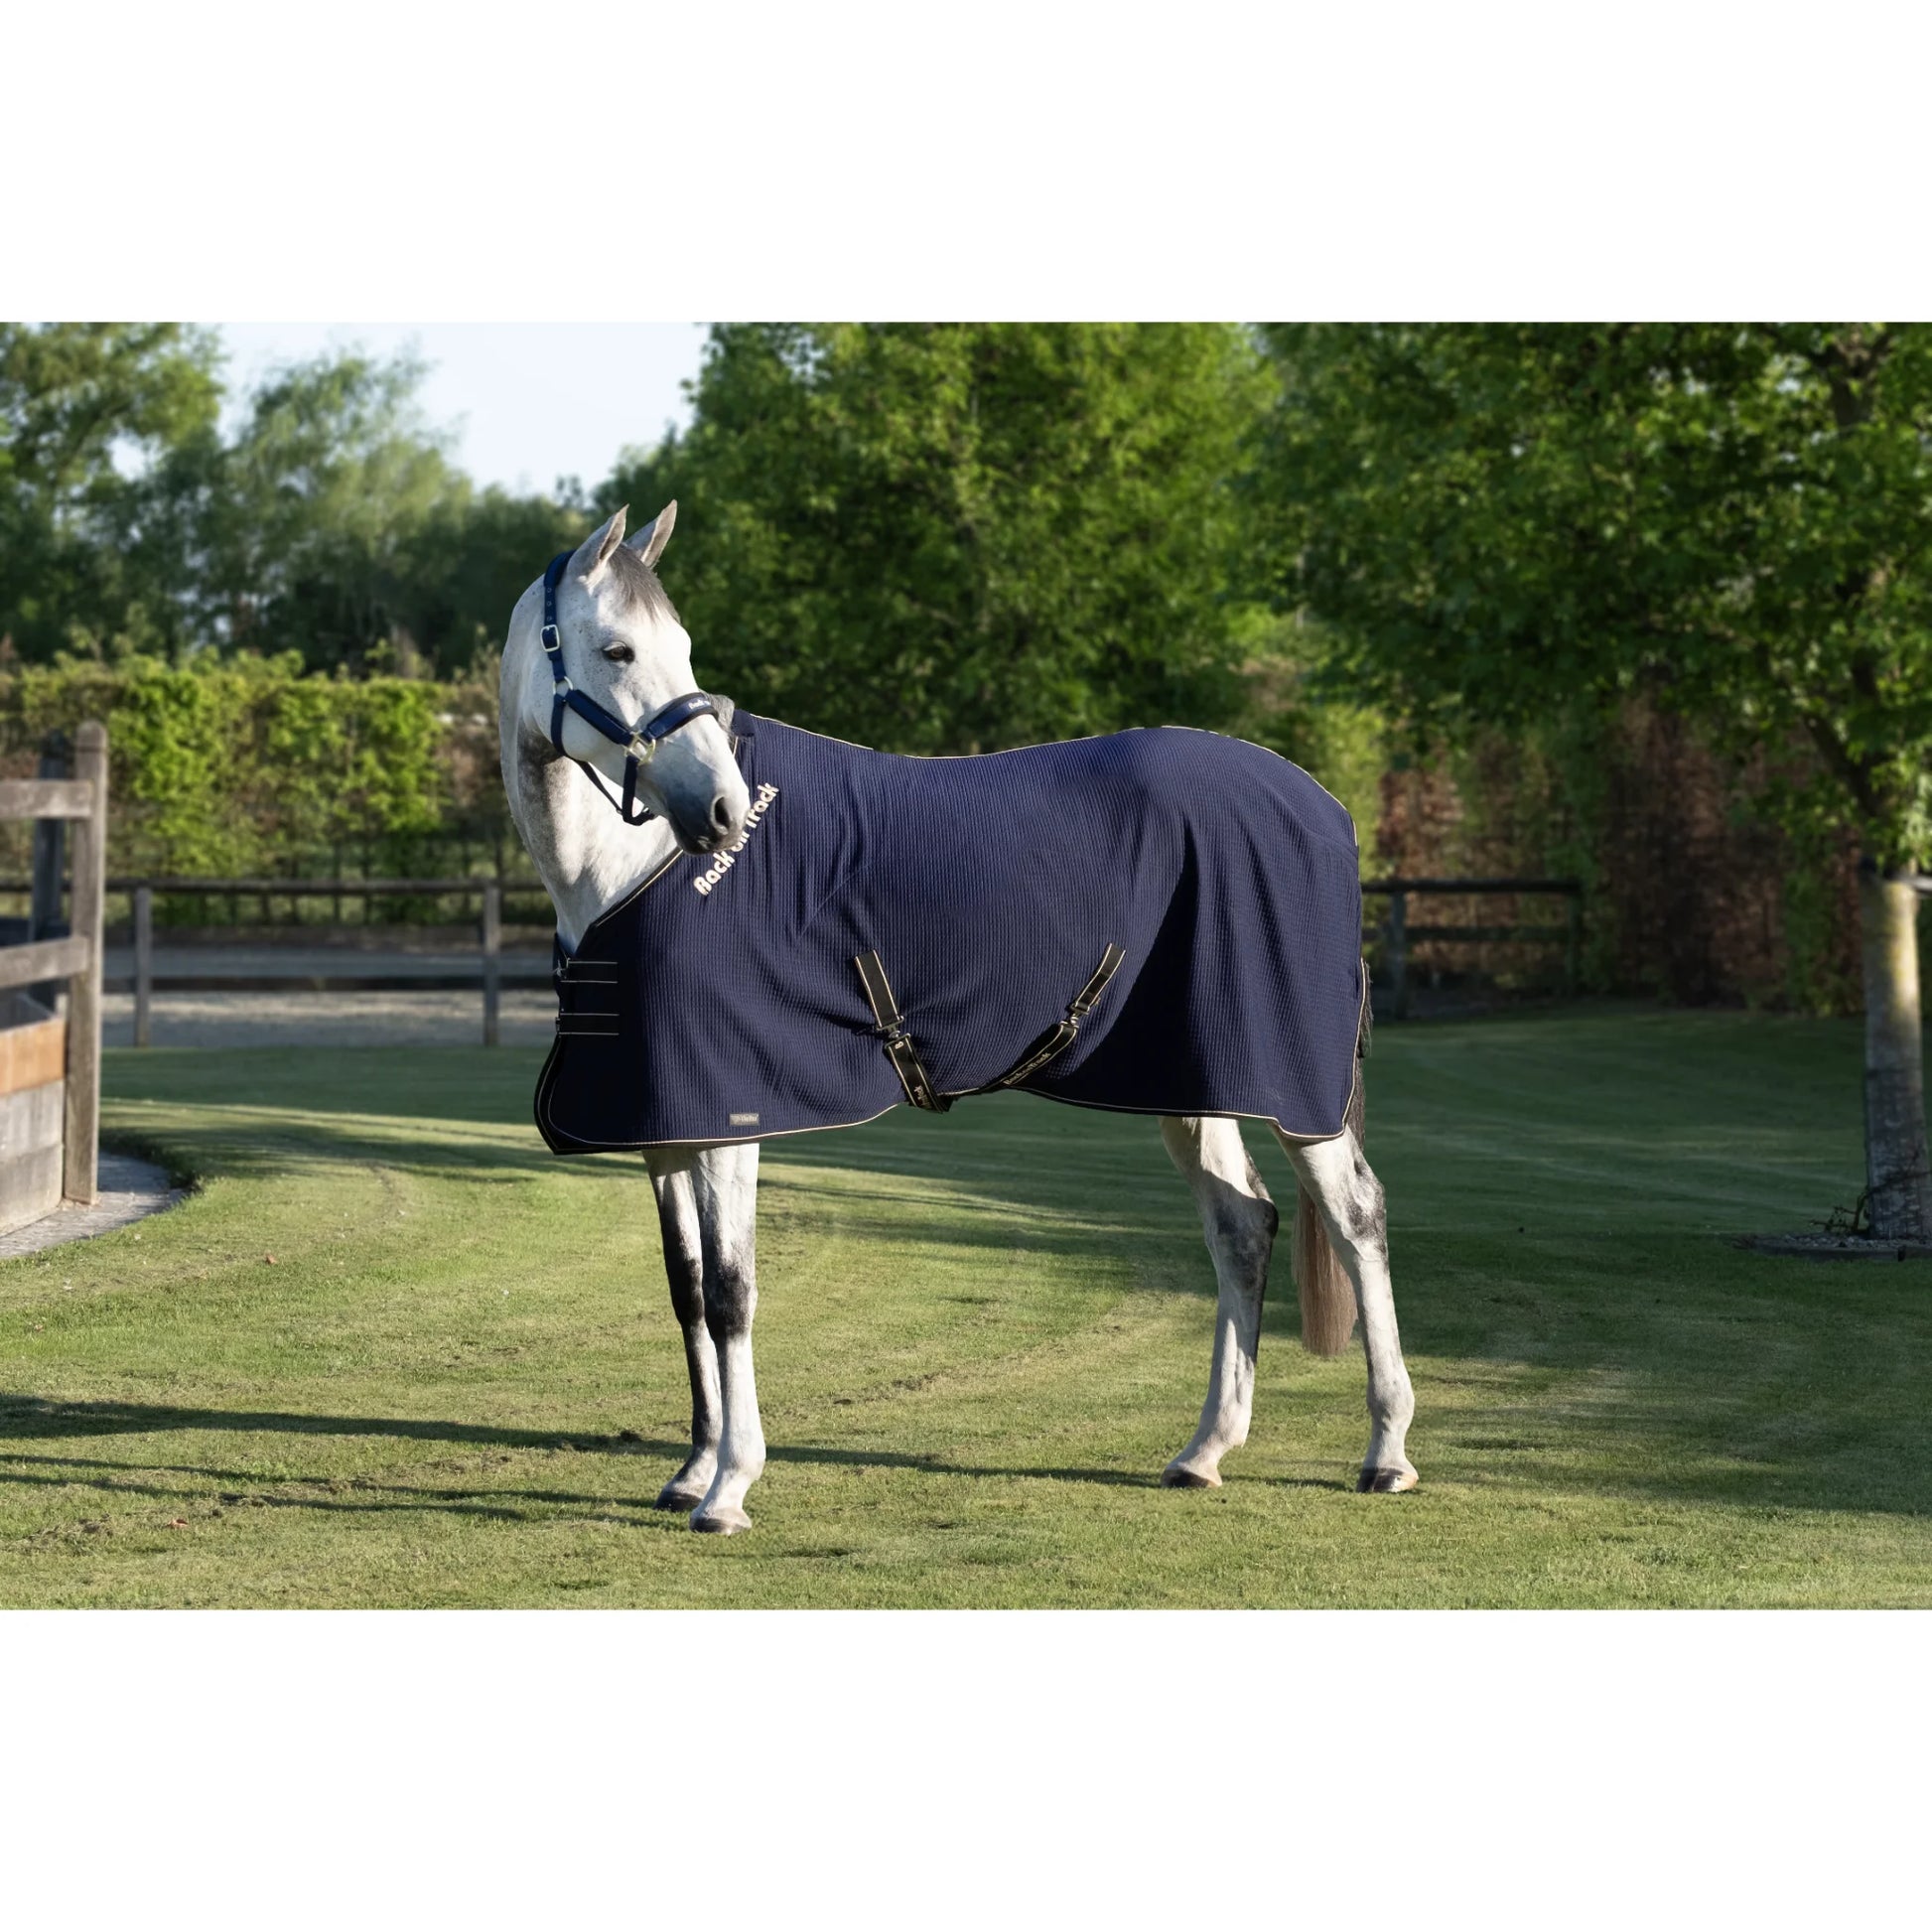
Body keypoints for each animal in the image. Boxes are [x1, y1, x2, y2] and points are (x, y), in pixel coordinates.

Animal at [499, 504, 1418, 1534]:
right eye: (618, 648)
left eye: (684, 649)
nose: (725, 812)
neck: (638, 870)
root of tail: (1325, 807)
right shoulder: (666, 1130)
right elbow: (688, 1293)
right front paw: (693, 1469)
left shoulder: (731, 1119)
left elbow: (734, 1294)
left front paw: (731, 1486)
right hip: (1191, 1079)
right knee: (1241, 1225)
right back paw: (1205, 1451)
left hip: (1298, 1091)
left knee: (1355, 1218)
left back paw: (1386, 1451)